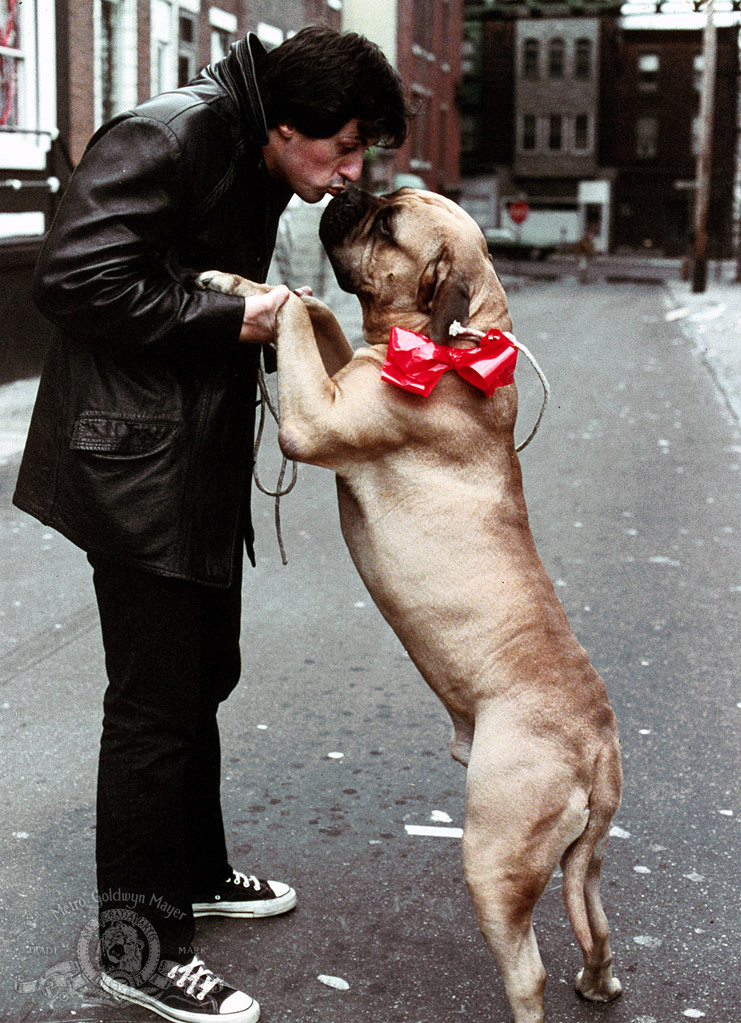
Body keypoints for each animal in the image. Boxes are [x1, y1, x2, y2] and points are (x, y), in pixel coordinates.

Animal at [195, 188, 618, 1023]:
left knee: (528, 970)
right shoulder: (342, 368)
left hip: (494, 853)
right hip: (579, 860)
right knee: (595, 920)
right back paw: (599, 981)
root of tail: (594, 750)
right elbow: (318, 316)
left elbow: (299, 323)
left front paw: (262, 296)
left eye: (387, 226)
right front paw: (249, 284)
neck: (452, 343)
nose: (351, 190)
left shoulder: (315, 419)